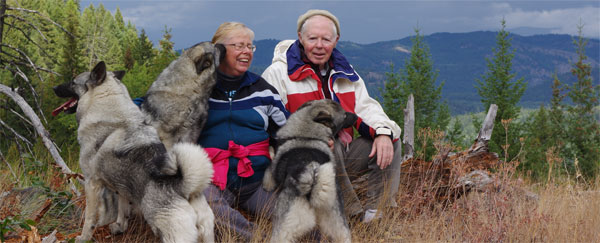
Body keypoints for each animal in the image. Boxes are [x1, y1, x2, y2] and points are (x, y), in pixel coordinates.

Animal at [52, 61, 214, 242]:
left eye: (73, 82)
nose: (54, 87)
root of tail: (183, 187)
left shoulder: (91, 183)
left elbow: (90, 218)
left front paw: (83, 237)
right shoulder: (122, 185)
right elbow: (122, 209)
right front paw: (119, 226)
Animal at [262, 99, 356, 243]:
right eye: (345, 115)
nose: (356, 116)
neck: (306, 135)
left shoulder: (271, 172)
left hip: (284, 225)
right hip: (337, 220)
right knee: (343, 235)